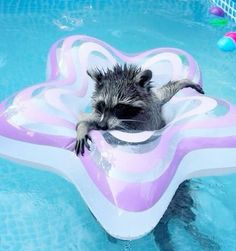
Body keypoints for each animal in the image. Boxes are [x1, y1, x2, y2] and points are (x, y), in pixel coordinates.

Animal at [74, 64, 204, 155]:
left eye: (119, 107)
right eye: (102, 104)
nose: (101, 126)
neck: (130, 119)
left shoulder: (155, 103)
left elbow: (166, 91)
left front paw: (184, 81)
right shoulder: (101, 116)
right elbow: (88, 118)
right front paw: (82, 127)